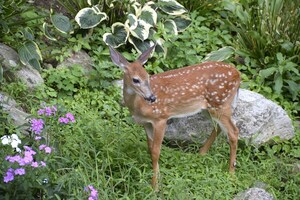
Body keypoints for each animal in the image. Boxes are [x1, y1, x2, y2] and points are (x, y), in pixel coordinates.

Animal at [109, 45, 240, 191]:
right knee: (219, 127)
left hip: (220, 103)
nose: (152, 97)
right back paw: (201, 153)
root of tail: (238, 74)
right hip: (208, 107)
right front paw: (158, 178)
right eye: (135, 79)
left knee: (233, 131)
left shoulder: (161, 118)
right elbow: (150, 148)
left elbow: (156, 151)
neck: (139, 106)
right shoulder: (147, 123)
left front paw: (155, 187)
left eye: (147, 76)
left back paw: (231, 173)